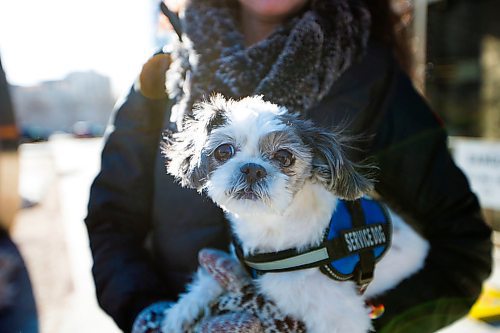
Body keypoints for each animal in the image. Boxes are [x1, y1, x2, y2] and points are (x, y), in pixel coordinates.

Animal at [162, 94, 428, 330]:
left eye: (284, 156)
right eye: (223, 151)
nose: (252, 169)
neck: (274, 228)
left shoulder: (341, 319)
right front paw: (182, 310)